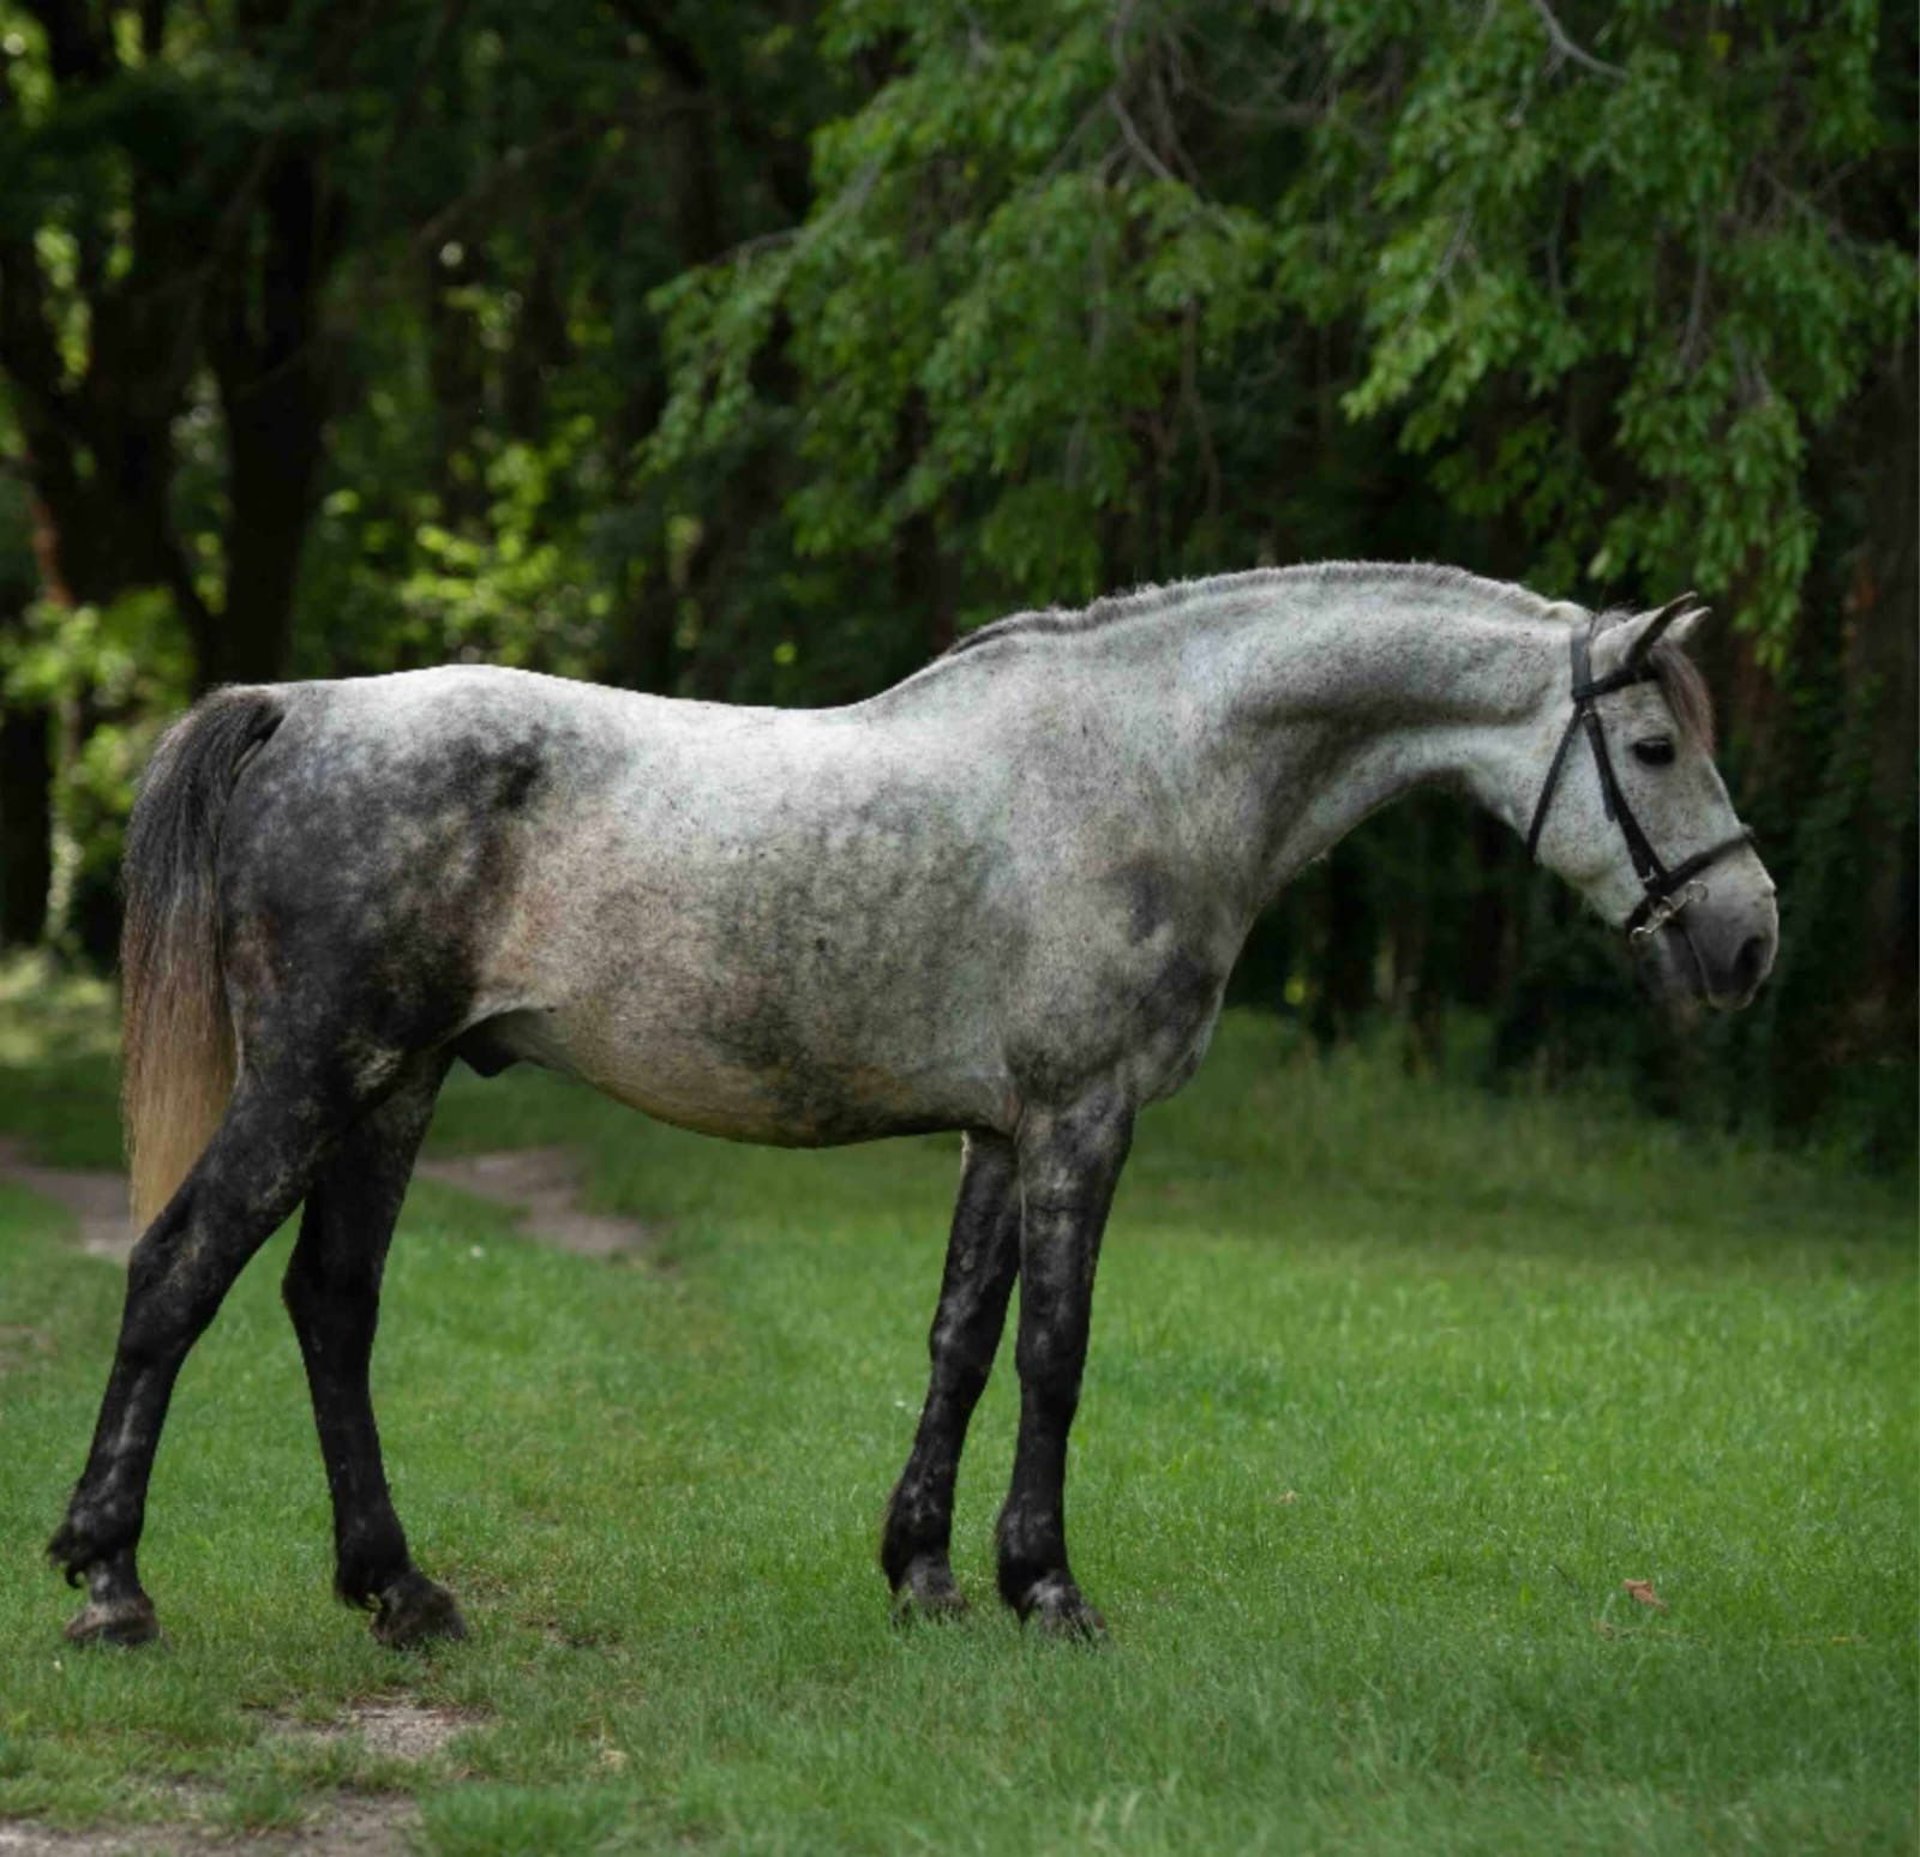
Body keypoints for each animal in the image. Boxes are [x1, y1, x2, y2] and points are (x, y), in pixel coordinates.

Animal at [45, 560, 1774, 1651]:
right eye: (1651, 743)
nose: (1750, 939)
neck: (1146, 763)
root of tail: (308, 708)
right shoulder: (1082, 1117)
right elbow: (1058, 1350)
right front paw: (1050, 1592)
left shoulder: (1001, 1130)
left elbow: (959, 1338)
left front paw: (928, 1575)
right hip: (318, 1074)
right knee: (176, 1273)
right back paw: (112, 1584)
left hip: (396, 1090)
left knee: (331, 1306)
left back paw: (401, 1594)